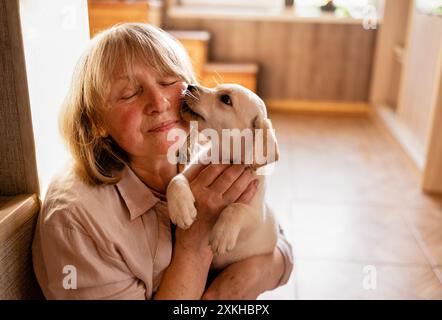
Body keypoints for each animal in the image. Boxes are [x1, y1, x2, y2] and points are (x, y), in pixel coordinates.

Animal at [166, 84, 280, 268]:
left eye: (226, 99)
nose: (189, 86)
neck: (224, 156)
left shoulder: (256, 216)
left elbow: (236, 208)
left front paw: (222, 236)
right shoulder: (189, 171)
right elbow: (176, 181)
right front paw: (181, 210)